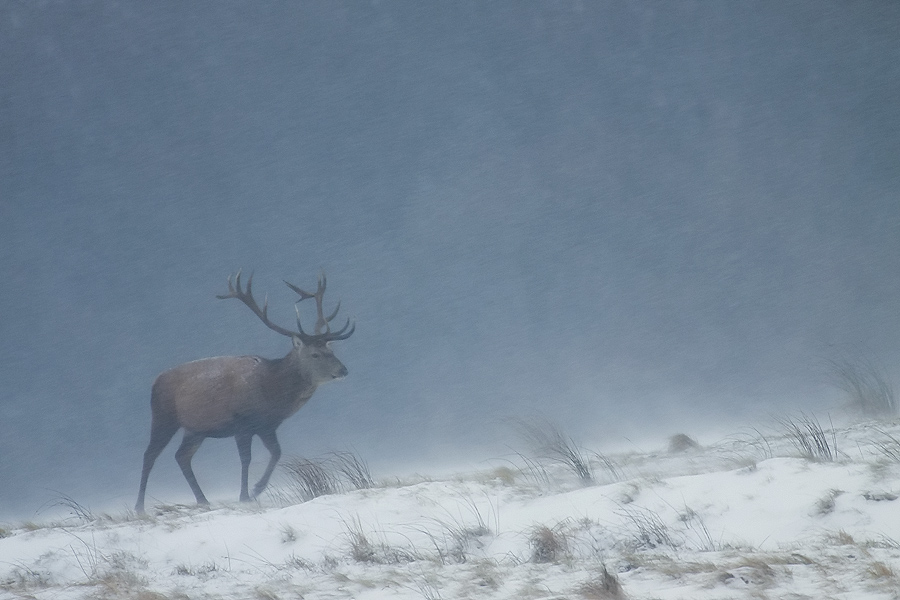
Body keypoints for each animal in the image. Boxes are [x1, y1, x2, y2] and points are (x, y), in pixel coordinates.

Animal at [135, 270, 354, 512]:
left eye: (331, 350)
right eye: (315, 354)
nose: (343, 370)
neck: (271, 392)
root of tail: (155, 381)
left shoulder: (267, 426)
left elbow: (276, 452)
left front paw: (257, 489)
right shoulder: (242, 423)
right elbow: (246, 459)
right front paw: (246, 494)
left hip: (195, 429)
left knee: (181, 456)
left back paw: (203, 499)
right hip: (163, 417)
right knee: (149, 455)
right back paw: (139, 506)